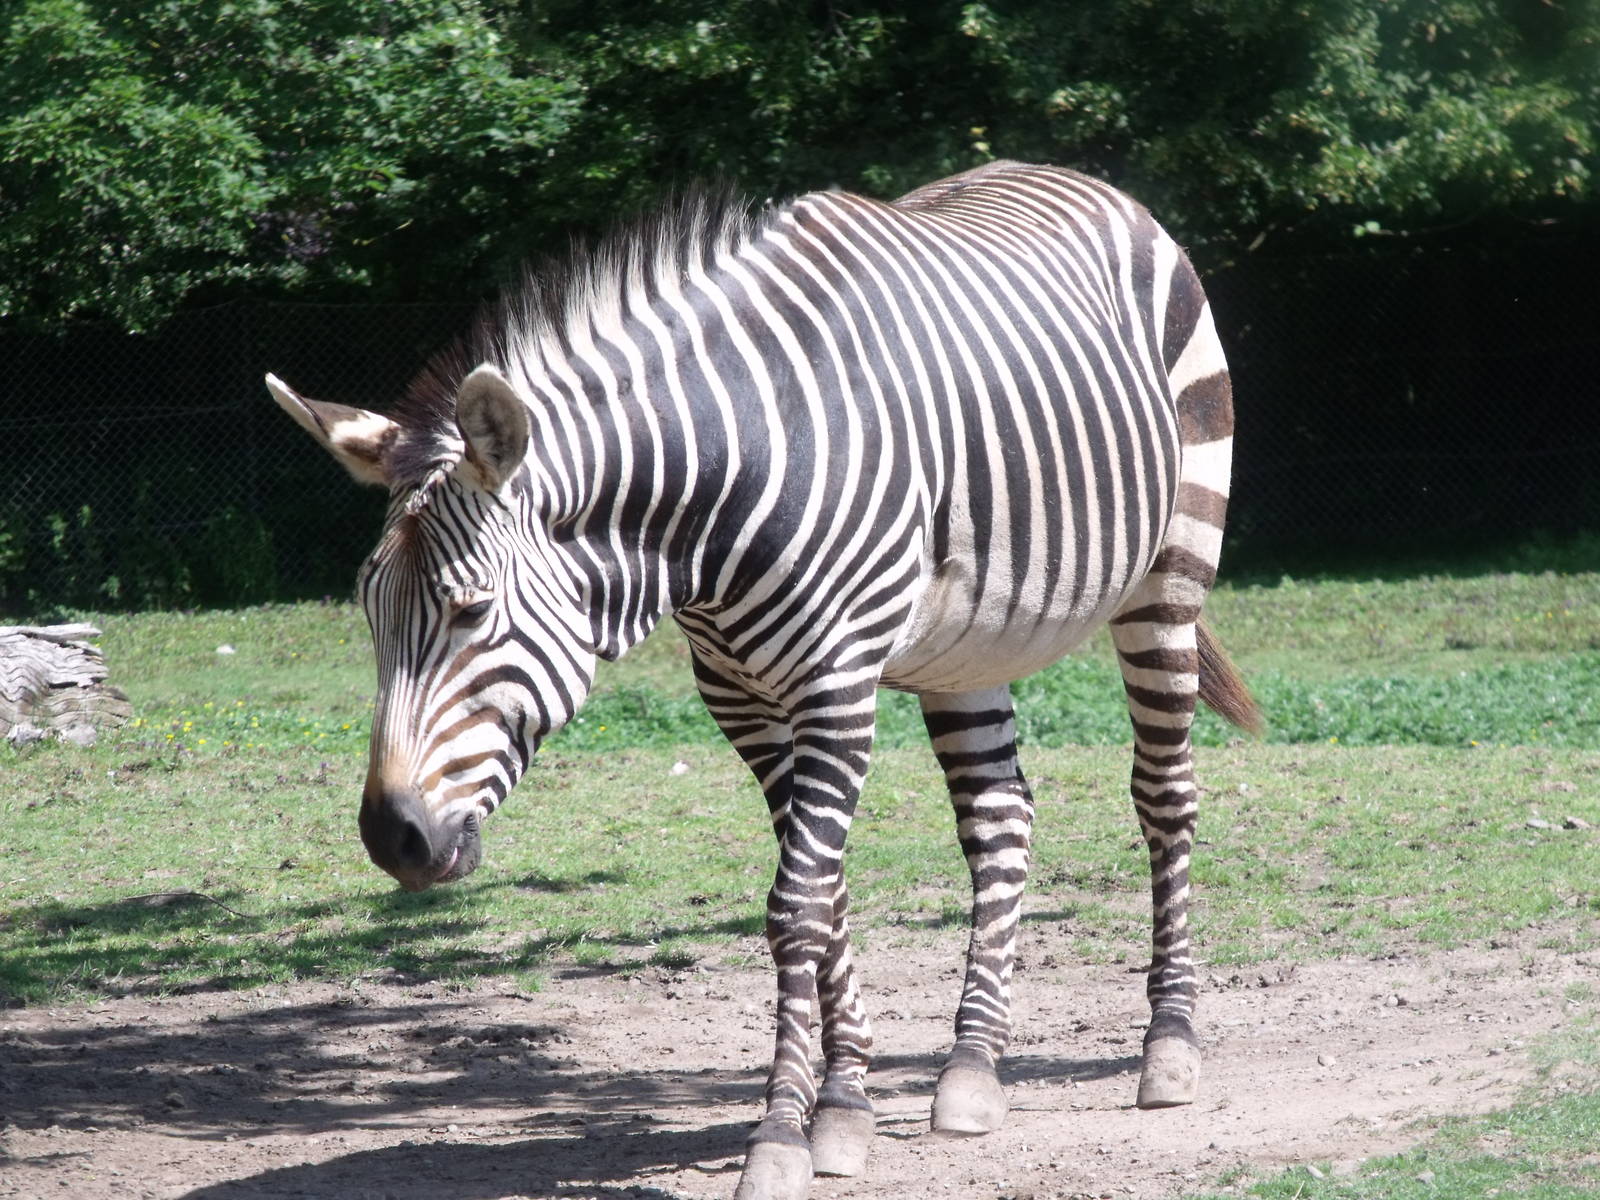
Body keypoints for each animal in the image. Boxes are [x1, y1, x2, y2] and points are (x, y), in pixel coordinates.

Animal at [268, 160, 1259, 1200]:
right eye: (370, 615)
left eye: (468, 612)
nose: (392, 839)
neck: (706, 508)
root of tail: (1072, 174)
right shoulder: (738, 697)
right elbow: (827, 897)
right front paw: (846, 1103)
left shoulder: (837, 682)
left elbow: (796, 906)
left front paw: (783, 1135)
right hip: (967, 645)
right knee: (1001, 819)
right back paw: (972, 1070)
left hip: (1169, 572)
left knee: (1164, 795)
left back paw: (1168, 1048)